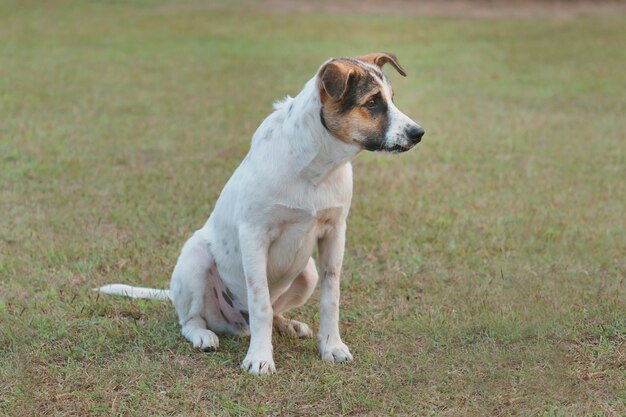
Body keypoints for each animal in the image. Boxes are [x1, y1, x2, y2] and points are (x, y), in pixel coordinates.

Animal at [97, 53, 422, 376]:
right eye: (372, 102)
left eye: (391, 99)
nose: (418, 133)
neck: (316, 168)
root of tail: (236, 323)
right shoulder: (254, 236)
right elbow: (260, 303)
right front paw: (260, 358)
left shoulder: (335, 231)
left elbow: (331, 296)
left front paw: (331, 346)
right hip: (196, 258)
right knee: (192, 320)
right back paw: (204, 335)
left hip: (307, 272)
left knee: (274, 310)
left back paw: (287, 325)